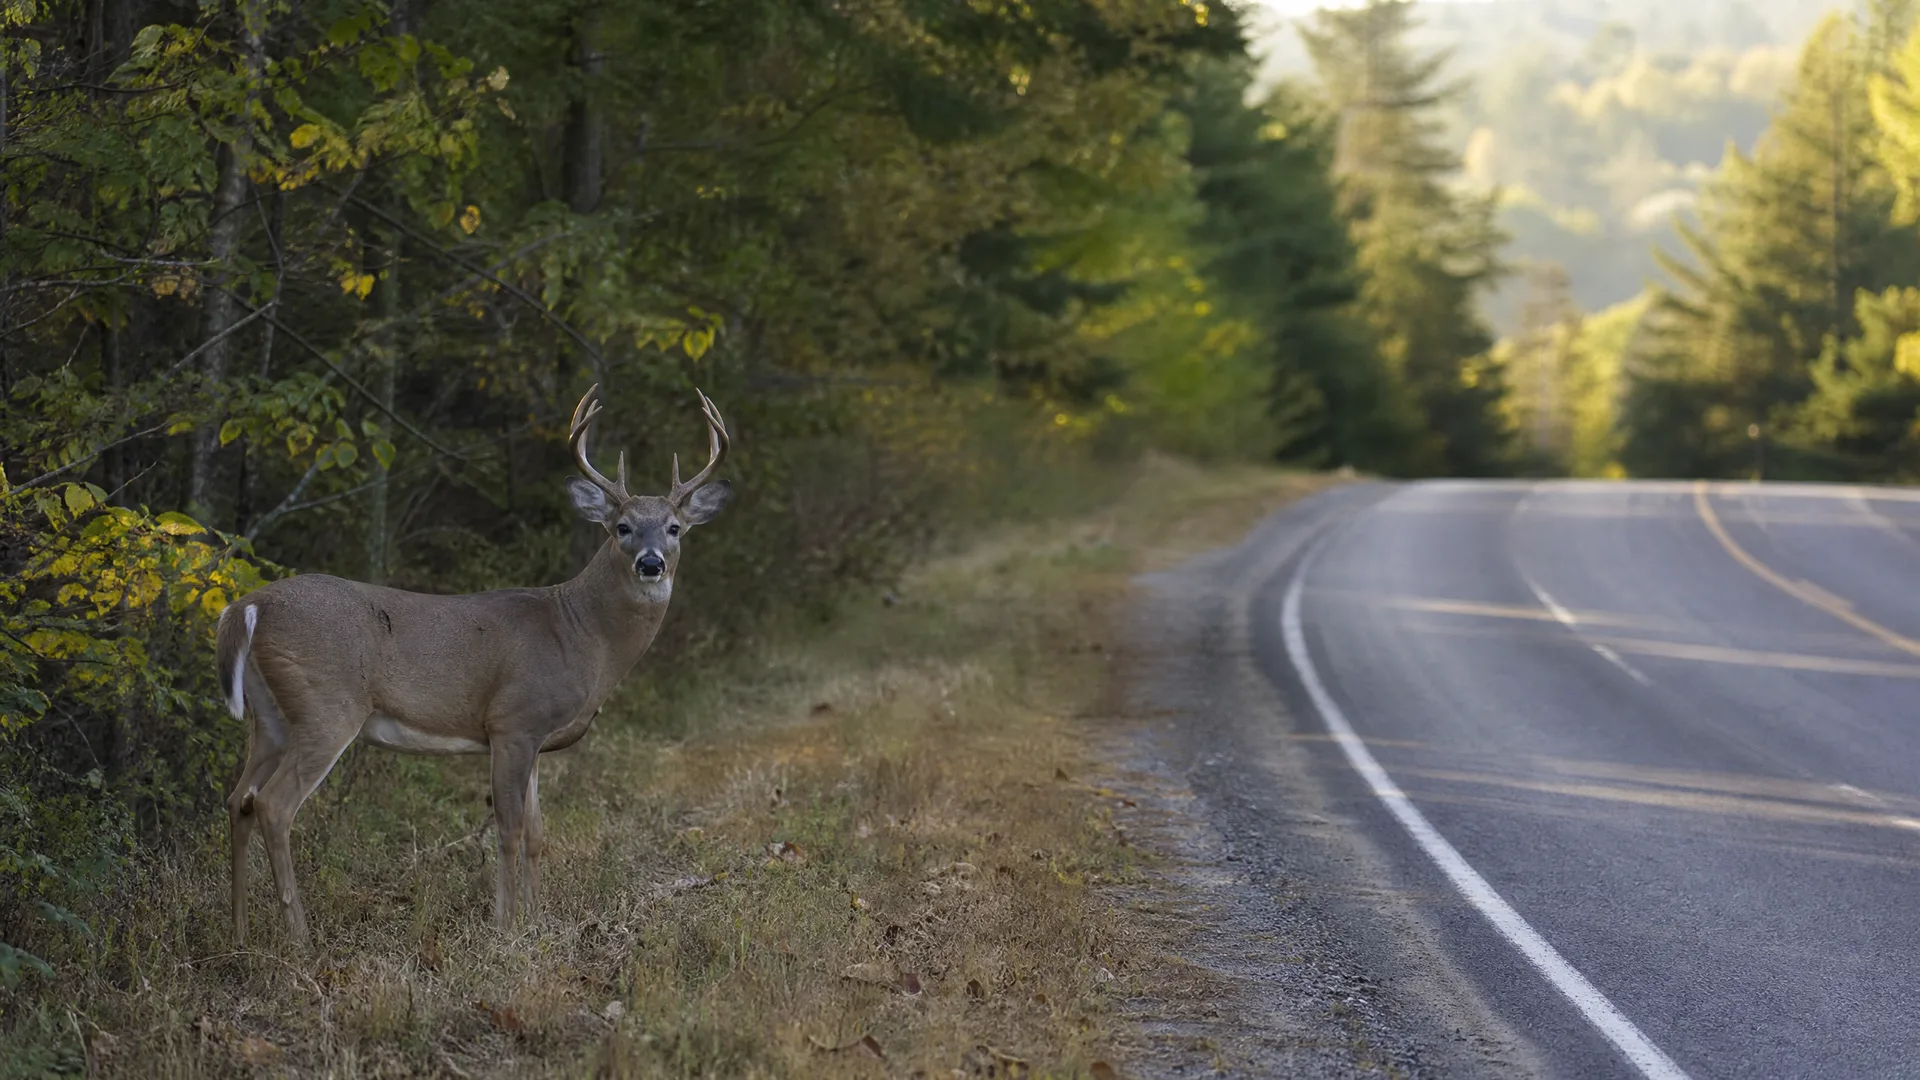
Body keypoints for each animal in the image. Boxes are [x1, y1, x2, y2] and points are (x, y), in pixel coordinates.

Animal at [214, 384, 732, 947]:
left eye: (675, 528)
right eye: (622, 527)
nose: (651, 563)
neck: (579, 633)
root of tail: (247, 606)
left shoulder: (535, 737)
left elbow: (537, 833)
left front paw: (536, 919)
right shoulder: (512, 720)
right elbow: (508, 829)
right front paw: (505, 925)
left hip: (270, 718)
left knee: (239, 799)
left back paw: (239, 933)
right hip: (325, 705)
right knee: (274, 805)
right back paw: (300, 939)